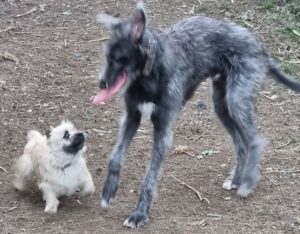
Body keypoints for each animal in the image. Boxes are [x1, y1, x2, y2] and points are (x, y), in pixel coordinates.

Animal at [92, 1, 300, 229]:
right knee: (241, 143)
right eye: (107, 56)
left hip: (237, 101)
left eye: (118, 58)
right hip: (221, 105)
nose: (101, 84)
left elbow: (149, 177)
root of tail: (259, 46)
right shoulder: (131, 118)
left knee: (255, 141)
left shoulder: (163, 131)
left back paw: (248, 182)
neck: (149, 75)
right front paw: (109, 192)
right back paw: (237, 179)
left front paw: (139, 214)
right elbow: (116, 157)